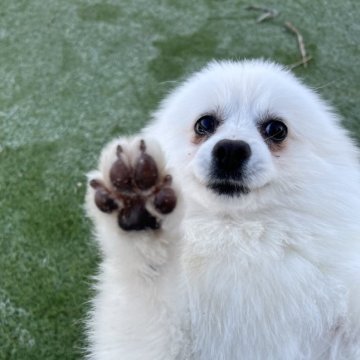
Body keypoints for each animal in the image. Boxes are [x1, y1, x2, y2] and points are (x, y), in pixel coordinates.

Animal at [85, 60, 360, 358]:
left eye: (276, 129)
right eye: (204, 123)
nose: (230, 150)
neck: (239, 234)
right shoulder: (150, 341)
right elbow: (148, 286)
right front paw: (140, 216)